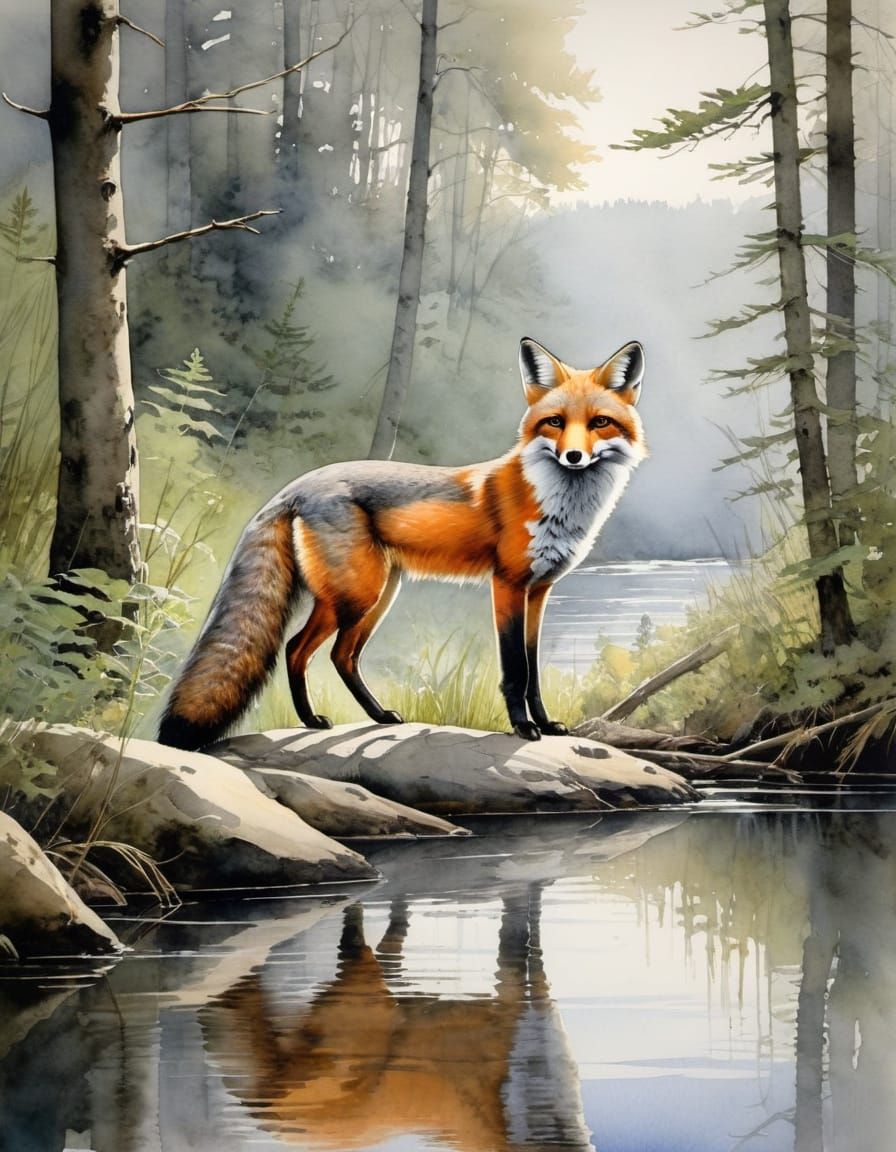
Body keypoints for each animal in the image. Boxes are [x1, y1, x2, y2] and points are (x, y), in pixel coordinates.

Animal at [157, 337, 646, 750]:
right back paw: (312, 721)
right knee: (297, 649)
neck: (557, 506)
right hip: (356, 595)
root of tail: (298, 484)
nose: (573, 456)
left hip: (378, 595)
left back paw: (376, 717)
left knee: (341, 656)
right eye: (555, 423)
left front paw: (546, 724)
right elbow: (515, 670)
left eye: (600, 423)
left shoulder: (540, 591)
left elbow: (533, 672)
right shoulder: (507, 585)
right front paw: (523, 729)